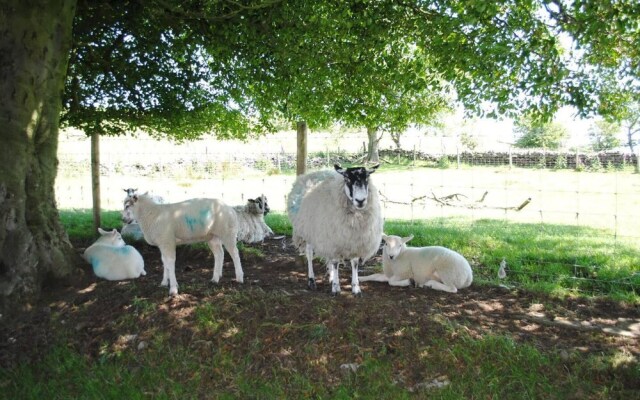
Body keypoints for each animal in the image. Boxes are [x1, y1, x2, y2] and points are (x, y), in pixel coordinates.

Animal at [288, 163, 382, 296]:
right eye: (347, 179)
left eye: (367, 178)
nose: (360, 201)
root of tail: (312, 173)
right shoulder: (334, 241)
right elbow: (336, 263)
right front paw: (336, 288)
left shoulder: (355, 242)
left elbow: (354, 263)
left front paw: (356, 288)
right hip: (309, 230)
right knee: (310, 253)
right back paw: (312, 280)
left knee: (328, 258)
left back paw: (331, 277)